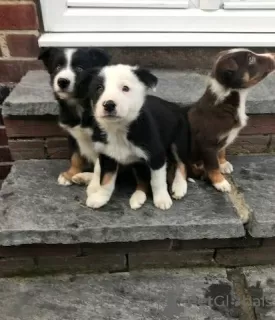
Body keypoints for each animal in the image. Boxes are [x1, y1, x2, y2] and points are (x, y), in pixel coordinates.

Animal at [38, 48, 111, 186]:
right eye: (58, 67)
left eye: (80, 68)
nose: (62, 81)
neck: (79, 105)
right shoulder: (72, 134)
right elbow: (75, 157)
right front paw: (69, 174)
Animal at [75, 64, 191, 210]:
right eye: (99, 88)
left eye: (125, 88)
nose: (109, 104)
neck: (118, 130)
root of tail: (174, 105)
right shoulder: (107, 156)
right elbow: (106, 179)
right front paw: (100, 197)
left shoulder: (156, 155)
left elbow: (157, 180)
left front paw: (162, 199)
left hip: (178, 141)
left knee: (181, 163)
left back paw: (179, 186)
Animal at [188, 48, 275, 191]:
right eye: (251, 59)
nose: (273, 54)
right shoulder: (207, 144)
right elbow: (213, 166)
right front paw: (221, 183)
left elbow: (222, 151)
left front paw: (223, 164)